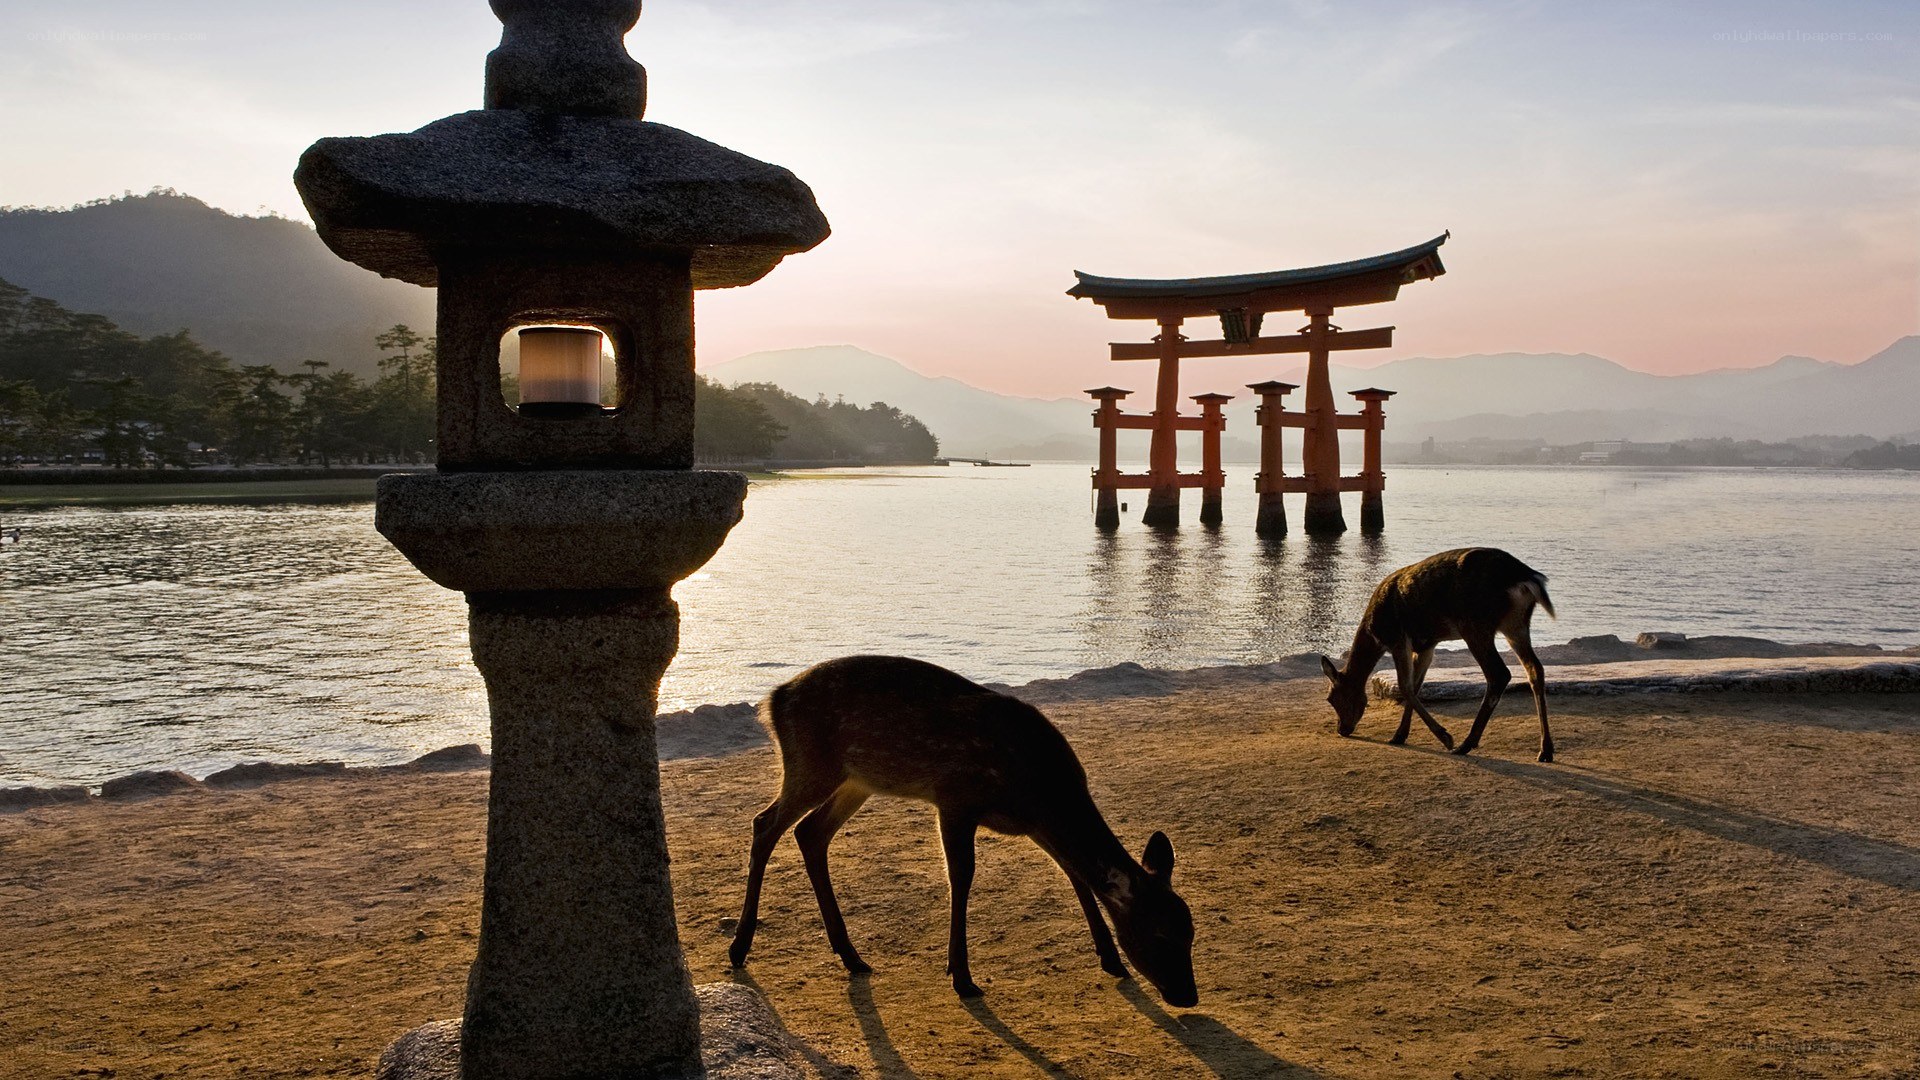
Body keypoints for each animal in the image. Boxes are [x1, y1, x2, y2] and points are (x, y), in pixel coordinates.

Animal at [728, 655, 1199, 1007]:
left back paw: (851, 955)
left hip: (857, 780)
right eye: (1161, 935)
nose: (1188, 996)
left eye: (1190, 932)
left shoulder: (1035, 823)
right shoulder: (955, 798)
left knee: (810, 833)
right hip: (812, 764)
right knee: (765, 823)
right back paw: (740, 946)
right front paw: (962, 976)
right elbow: (962, 877)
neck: (1042, 787)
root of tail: (773, 701)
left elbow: (1074, 874)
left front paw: (1111, 960)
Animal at [1320, 547, 1558, 762]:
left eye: (1331, 698)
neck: (1373, 633)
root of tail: (1527, 578)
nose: (1342, 729)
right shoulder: (1426, 646)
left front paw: (1445, 737)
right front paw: (1400, 735)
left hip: (1475, 624)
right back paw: (1545, 750)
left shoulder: (1397, 638)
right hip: (1516, 625)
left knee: (1499, 674)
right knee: (1535, 669)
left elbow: (1405, 686)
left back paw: (1465, 744)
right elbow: (1416, 686)